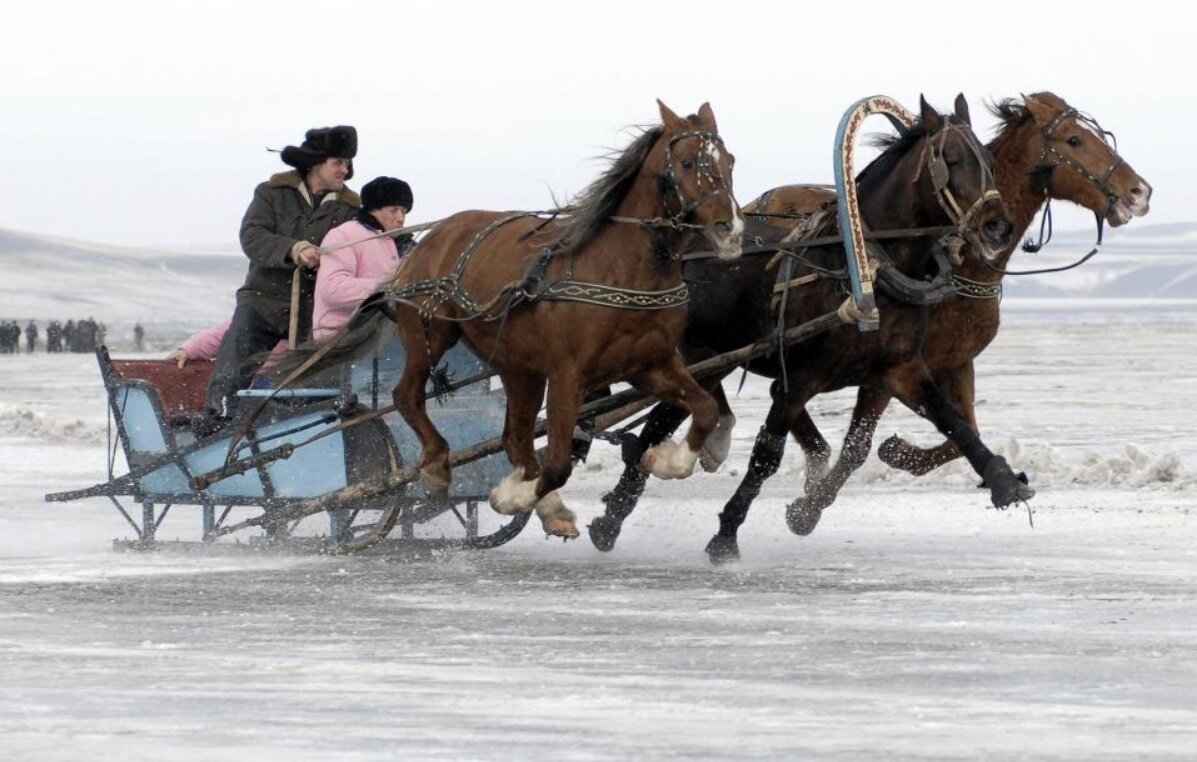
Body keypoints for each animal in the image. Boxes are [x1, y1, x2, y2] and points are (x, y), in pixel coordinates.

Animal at [282, 102, 746, 540]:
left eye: (730, 160)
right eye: (686, 162)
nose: (731, 229)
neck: (619, 269)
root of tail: (430, 240)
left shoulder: (651, 365)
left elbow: (705, 409)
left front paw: (667, 458)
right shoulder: (568, 375)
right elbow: (557, 463)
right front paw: (514, 496)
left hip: (517, 366)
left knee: (515, 436)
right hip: (430, 332)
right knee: (407, 397)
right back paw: (437, 465)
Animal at [586, 93, 1019, 559]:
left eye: (988, 162)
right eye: (952, 160)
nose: (998, 226)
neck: (864, 269)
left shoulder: (899, 369)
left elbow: (951, 422)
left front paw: (1003, 480)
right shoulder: (798, 379)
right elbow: (766, 455)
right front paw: (727, 534)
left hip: (709, 360)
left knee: (661, 422)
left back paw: (612, 518)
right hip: (692, 356)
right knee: (657, 424)